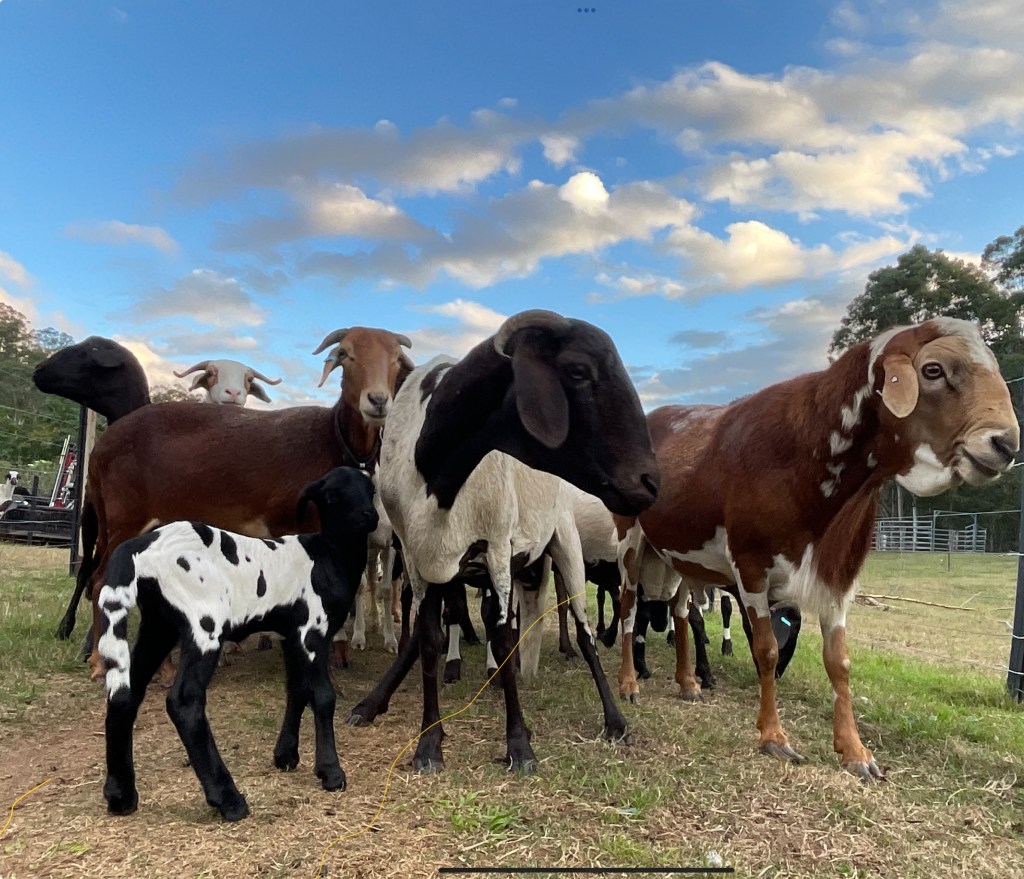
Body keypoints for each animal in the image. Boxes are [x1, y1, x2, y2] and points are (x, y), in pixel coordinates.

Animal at [79, 326, 413, 680]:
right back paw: (100, 660)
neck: (330, 439)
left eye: (396, 358)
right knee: (100, 580)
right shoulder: (289, 523)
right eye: (346, 354)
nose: (378, 400)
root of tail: (101, 447)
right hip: (124, 518)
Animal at [98, 466, 378, 821]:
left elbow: (296, 691)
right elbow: (323, 697)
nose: (369, 516)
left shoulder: (289, 635)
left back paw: (121, 796)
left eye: (371, 489)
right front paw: (331, 772)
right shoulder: (313, 630)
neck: (329, 556)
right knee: (184, 701)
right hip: (204, 622)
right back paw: (229, 799)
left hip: (159, 624)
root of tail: (141, 546)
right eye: (331, 495)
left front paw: (286, 756)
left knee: (125, 694)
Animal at [346, 309, 659, 774]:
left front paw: (519, 746)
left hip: (563, 543)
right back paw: (372, 704)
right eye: (578, 371)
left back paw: (616, 722)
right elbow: (429, 639)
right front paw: (428, 744)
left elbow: (501, 637)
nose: (651, 482)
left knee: (583, 633)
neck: (437, 470)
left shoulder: (495, 547)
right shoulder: (419, 555)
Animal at [614, 318, 1020, 780]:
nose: (1006, 444)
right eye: (933, 370)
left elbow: (839, 661)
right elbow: (767, 650)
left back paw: (687, 683)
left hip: (681, 553)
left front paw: (855, 751)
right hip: (629, 541)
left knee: (681, 611)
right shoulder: (751, 565)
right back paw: (628, 683)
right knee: (628, 608)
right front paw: (773, 736)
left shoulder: (838, 573)